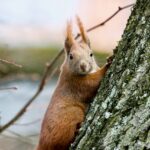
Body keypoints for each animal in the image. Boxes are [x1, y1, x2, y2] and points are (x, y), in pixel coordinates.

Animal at [35, 16, 112, 150]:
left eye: (91, 54)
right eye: (71, 56)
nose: (83, 66)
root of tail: (42, 145)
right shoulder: (75, 84)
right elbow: (93, 82)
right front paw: (107, 65)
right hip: (71, 114)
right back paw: (76, 131)